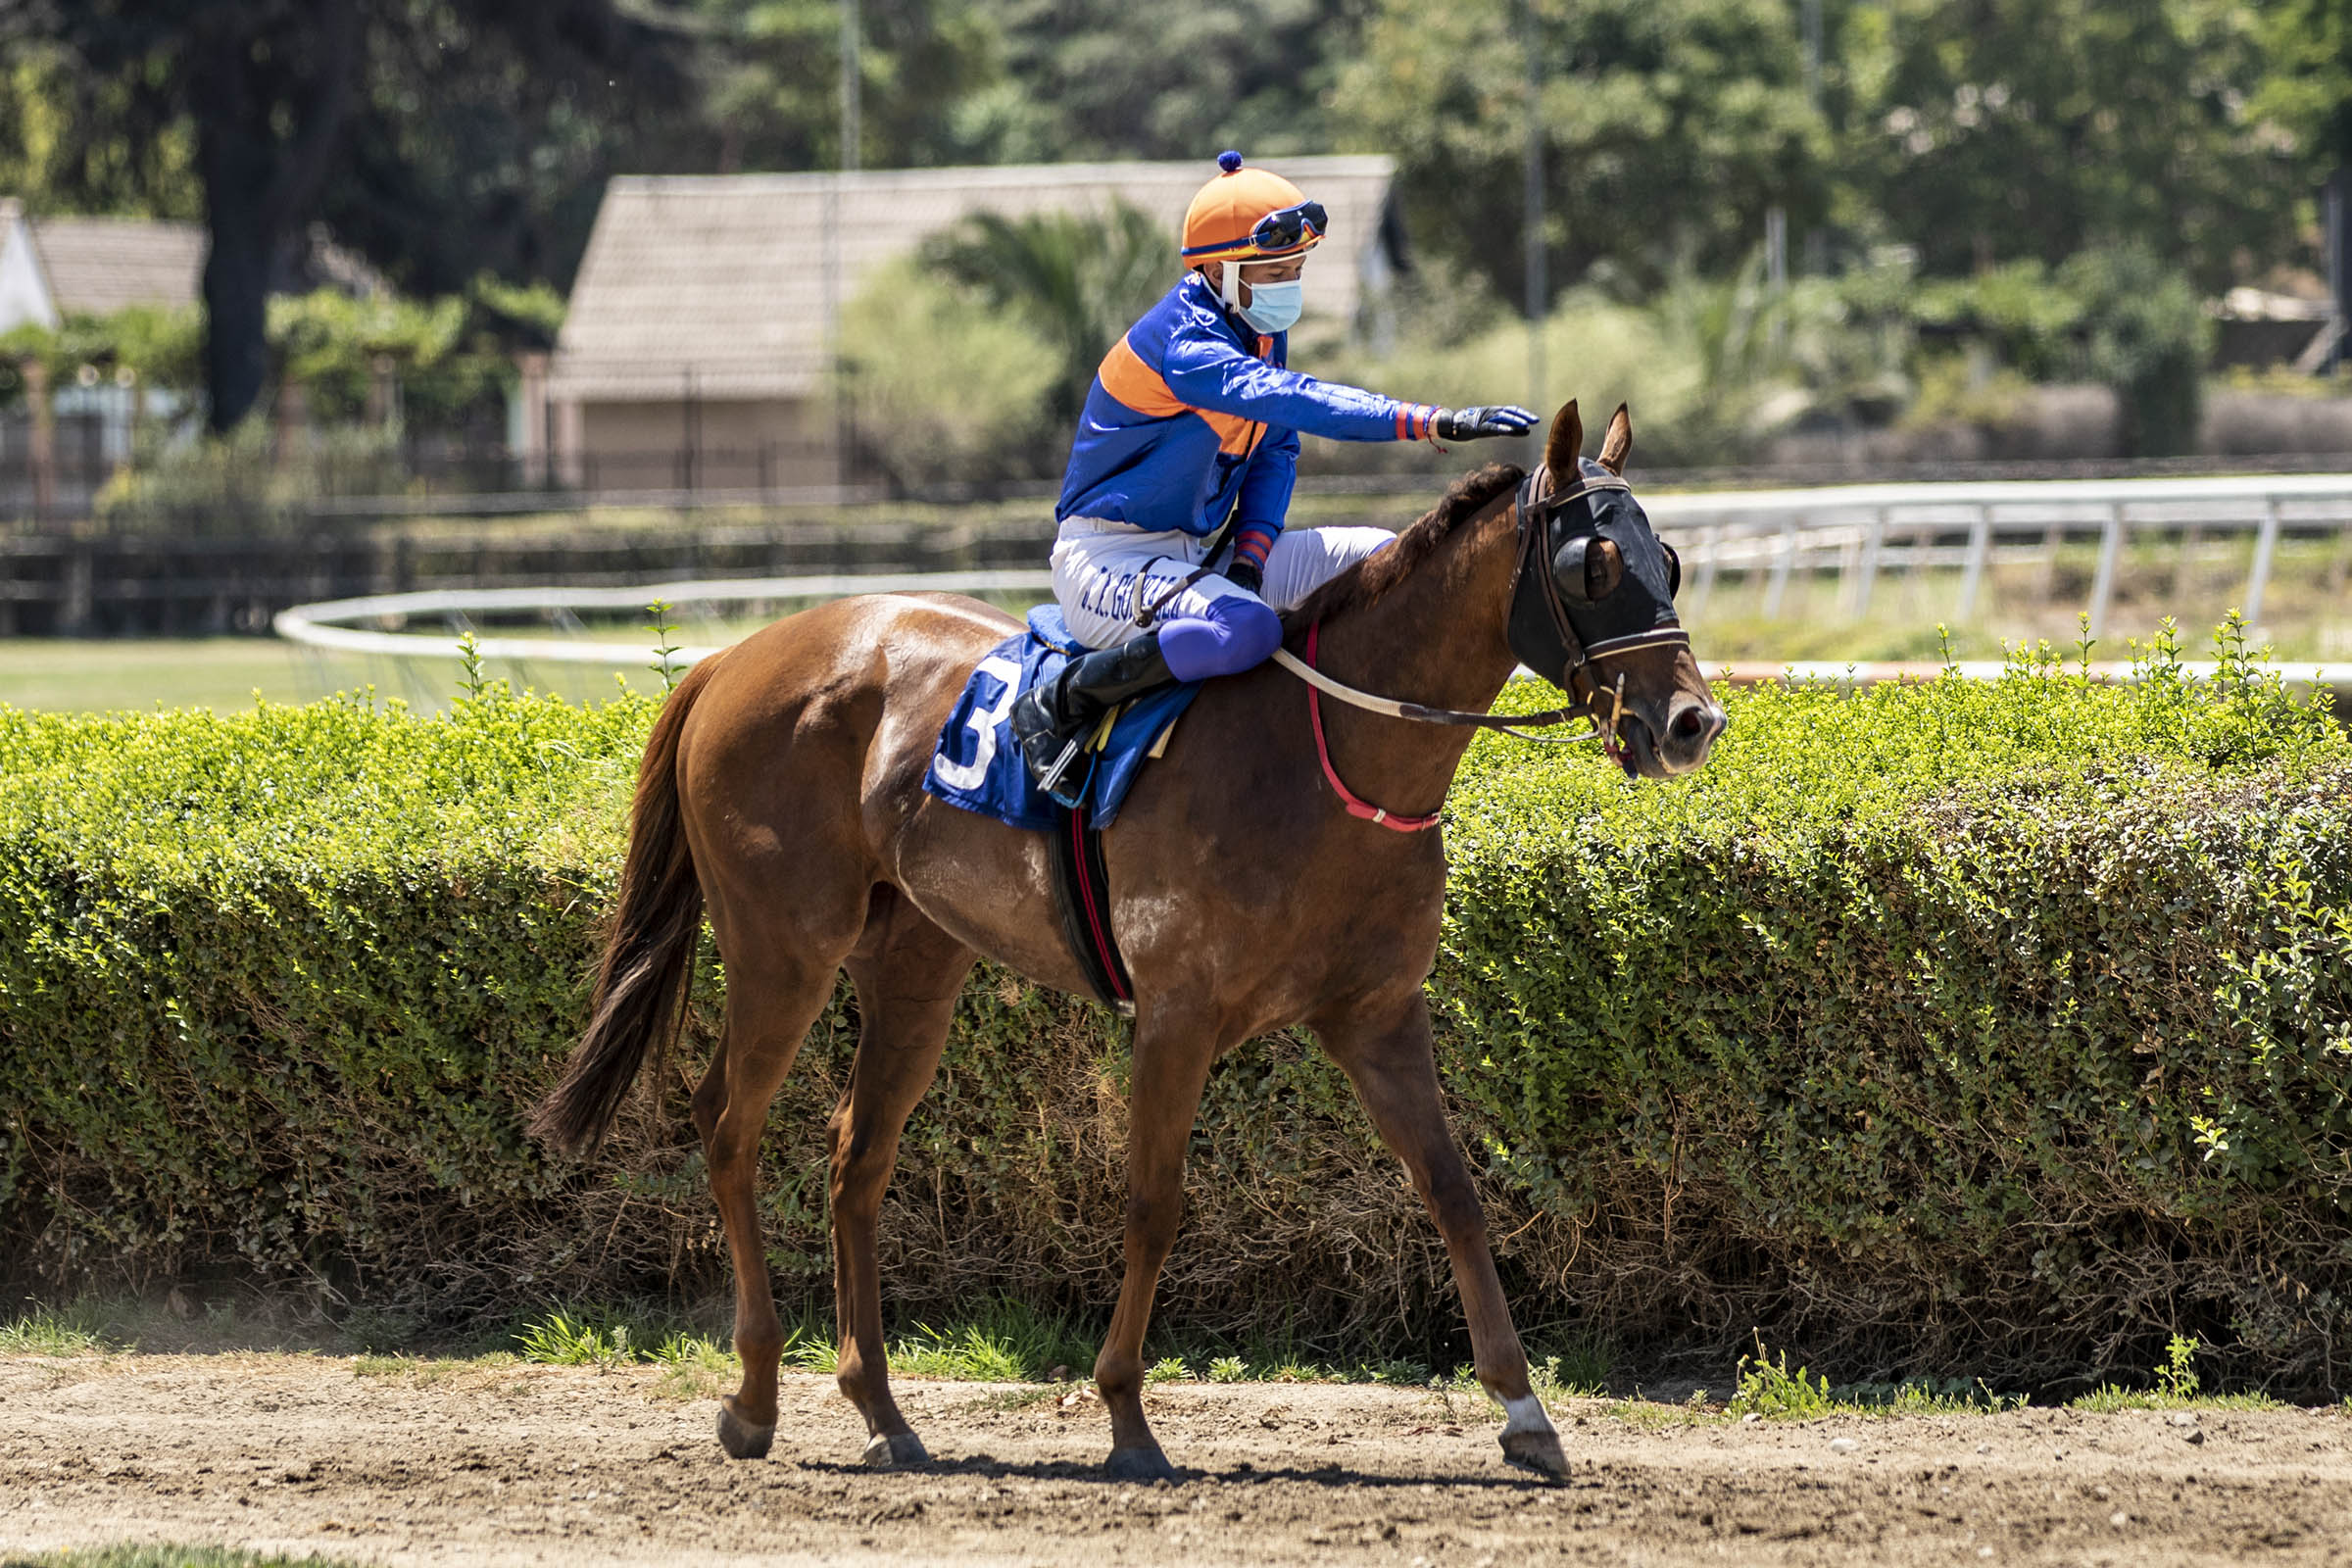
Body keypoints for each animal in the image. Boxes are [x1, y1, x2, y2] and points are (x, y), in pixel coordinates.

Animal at [532, 400, 1725, 1481]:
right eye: (1595, 562)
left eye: (1666, 556)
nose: (1690, 724)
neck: (1330, 756)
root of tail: (733, 656)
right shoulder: (1177, 1016)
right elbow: (1155, 1204)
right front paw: (1127, 1418)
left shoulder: (1377, 1014)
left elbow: (1454, 1191)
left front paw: (1526, 1413)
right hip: (783, 945)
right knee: (727, 1125)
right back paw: (753, 1397)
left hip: (914, 969)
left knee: (853, 1156)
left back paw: (881, 1409)